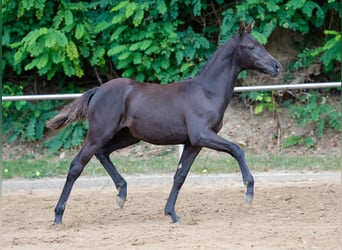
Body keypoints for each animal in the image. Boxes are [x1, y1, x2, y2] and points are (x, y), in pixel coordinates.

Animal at [48, 22, 284, 224]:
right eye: (251, 46)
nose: (277, 66)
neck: (207, 92)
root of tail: (97, 90)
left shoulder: (193, 143)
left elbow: (180, 176)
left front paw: (171, 213)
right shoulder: (202, 135)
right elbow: (237, 149)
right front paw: (249, 191)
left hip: (127, 136)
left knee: (103, 153)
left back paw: (121, 193)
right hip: (100, 133)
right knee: (77, 166)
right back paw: (58, 215)